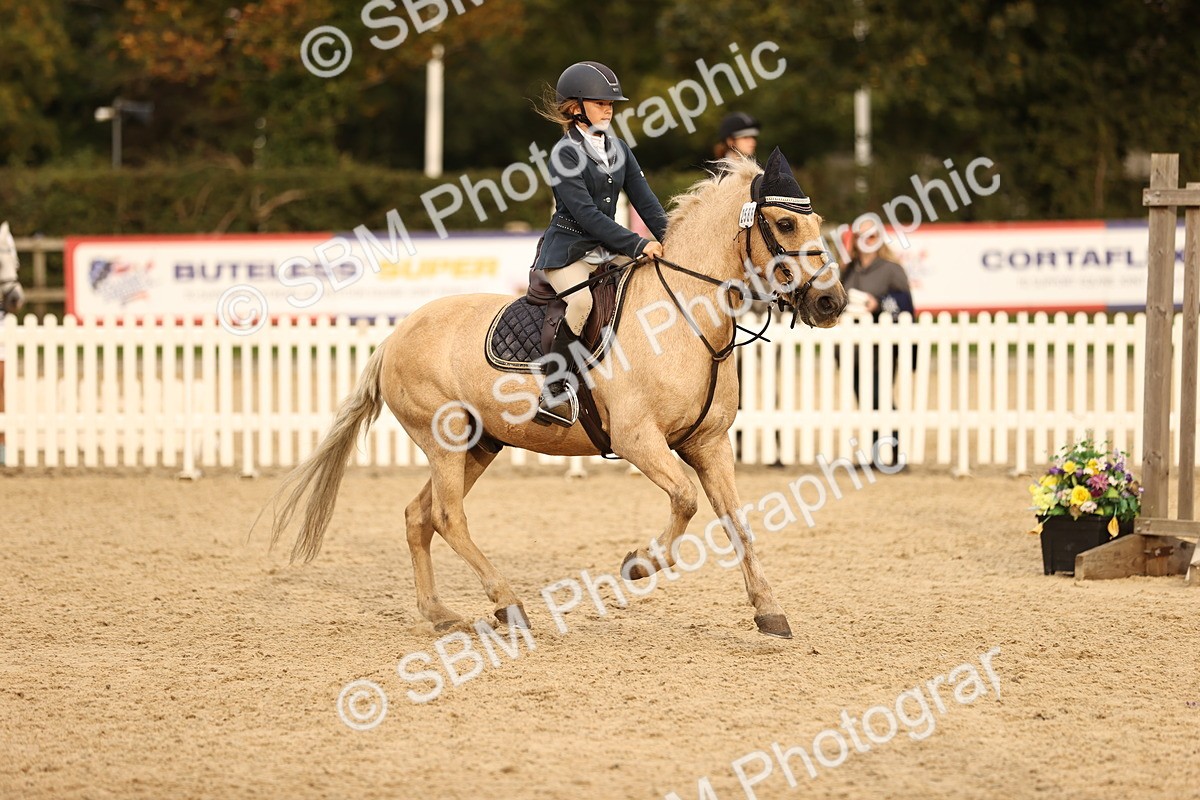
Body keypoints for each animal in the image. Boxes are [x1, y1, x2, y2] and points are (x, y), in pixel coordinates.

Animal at [265, 149, 847, 639]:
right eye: (785, 223)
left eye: (817, 222)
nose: (831, 303)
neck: (685, 315)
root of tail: (395, 334)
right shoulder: (638, 440)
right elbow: (684, 498)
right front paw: (638, 564)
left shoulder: (710, 444)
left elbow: (737, 523)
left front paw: (769, 610)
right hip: (444, 439)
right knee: (449, 518)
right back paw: (507, 604)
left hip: (479, 445)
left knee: (419, 517)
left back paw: (441, 614)